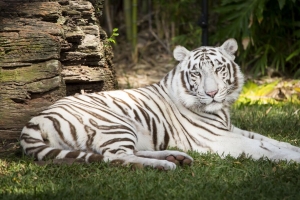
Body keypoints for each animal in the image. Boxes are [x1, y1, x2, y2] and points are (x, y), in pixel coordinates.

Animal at [19, 38, 300, 169]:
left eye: (219, 69)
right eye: (197, 73)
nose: (211, 93)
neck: (221, 113)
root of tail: (33, 121)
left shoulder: (231, 129)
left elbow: (271, 141)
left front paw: (292, 149)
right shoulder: (219, 138)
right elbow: (264, 149)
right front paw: (291, 160)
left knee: (129, 152)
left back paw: (177, 157)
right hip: (116, 123)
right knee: (115, 157)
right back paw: (166, 165)